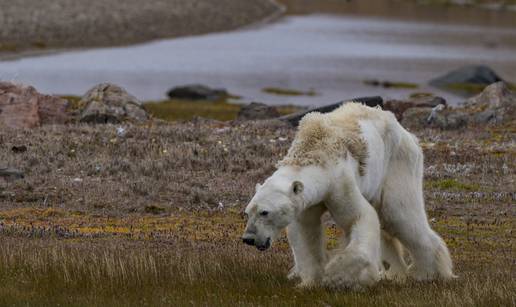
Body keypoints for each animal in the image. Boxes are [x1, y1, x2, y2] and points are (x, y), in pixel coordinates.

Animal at [242, 102, 456, 290]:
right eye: (247, 212)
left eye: (264, 212)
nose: (248, 238)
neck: (314, 152)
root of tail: (408, 134)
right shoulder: (307, 202)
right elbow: (305, 231)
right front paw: (309, 282)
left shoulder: (339, 182)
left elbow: (358, 217)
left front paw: (338, 275)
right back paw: (395, 273)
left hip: (397, 163)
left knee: (399, 214)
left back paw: (427, 273)